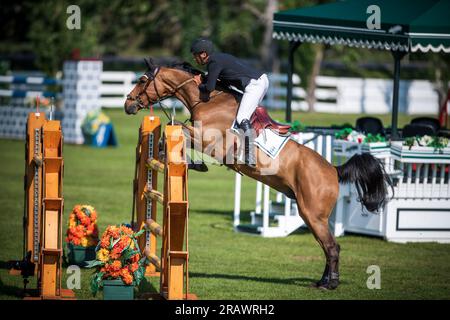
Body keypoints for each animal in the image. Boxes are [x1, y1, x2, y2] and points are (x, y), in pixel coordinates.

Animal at [125, 58, 392, 292]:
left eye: (142, 79)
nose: (128, 104)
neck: (208, 101)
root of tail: (333, 170)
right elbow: (180, 129)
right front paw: (171, 153)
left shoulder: (210, 141)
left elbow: (181, 127)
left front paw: (177, 154)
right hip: (311, 215)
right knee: (326, 247)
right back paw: (321, 281)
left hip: (312, 214)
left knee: (332, 247)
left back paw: (330, 284)